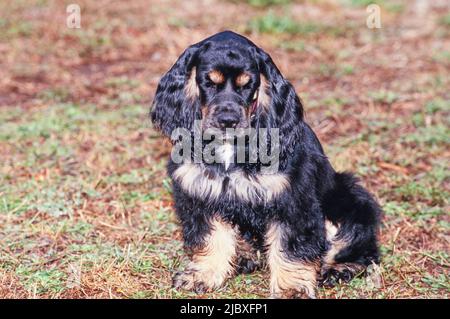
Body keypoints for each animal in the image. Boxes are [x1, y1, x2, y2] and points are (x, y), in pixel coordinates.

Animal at [150, 31, 380, 298]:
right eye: (209, 82)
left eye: (248, 84)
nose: (228, 120)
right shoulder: (201, 193)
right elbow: (210, 237)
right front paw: (203, 275)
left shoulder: (291, 201)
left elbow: (290, 246)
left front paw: (292, 288)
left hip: (353, 198)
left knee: (361, 249)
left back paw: (338, 269)